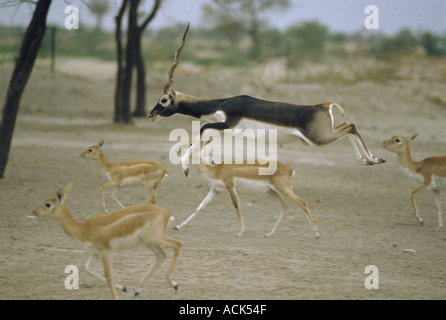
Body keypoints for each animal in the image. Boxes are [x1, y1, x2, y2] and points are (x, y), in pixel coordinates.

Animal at [32, 182, 183, 300]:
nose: (34, 211)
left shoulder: (104, 250)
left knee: (177, 244)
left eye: (48, 204)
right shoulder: (94, 252)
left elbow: (108, 275)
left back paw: (174, 284)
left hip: (155, 238)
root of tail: (167, 214)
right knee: (162, 255)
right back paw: (138, 290)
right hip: (149, 242)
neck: (84, 229)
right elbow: (88, 268)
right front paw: (123, 287)